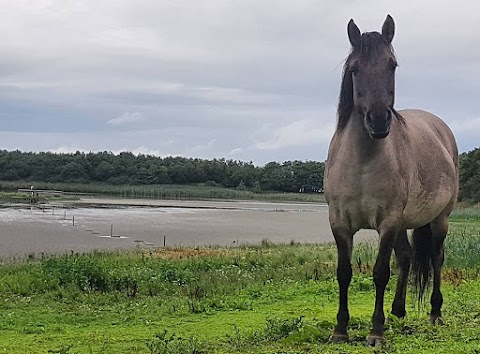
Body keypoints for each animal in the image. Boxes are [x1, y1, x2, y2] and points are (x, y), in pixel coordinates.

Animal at [324, 14, 460, 346]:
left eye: (392, 65)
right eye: (355, 69)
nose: (378, 120)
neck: (362, 162)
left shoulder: (387, 221)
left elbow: (379, 272)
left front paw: (376, 331)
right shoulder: (339, 222)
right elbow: (344, 272)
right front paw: (340, 329)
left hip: (439, 219)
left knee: (436, 257)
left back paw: (434, 313)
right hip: (404, 223)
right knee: (407, 257)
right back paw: (398, 310)